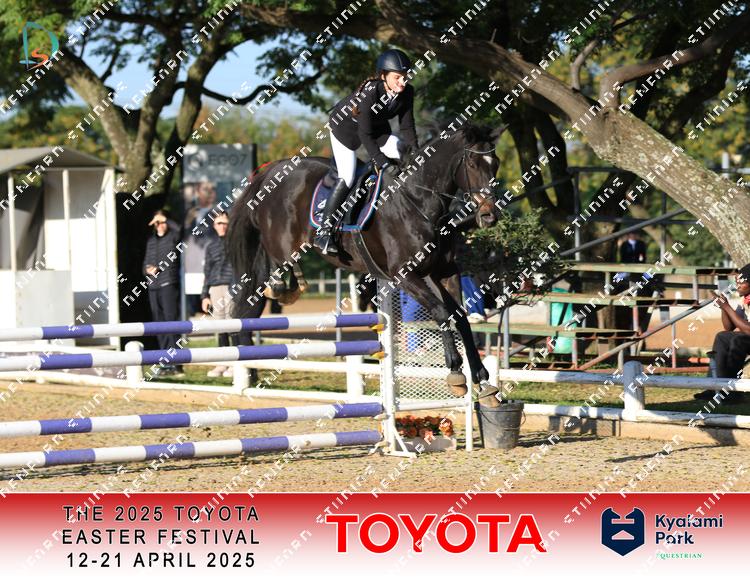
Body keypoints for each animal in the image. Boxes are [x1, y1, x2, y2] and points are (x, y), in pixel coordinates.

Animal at [228, 124, 505, 398]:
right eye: (472, 164)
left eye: (496, 163)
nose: (489, 215)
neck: (418, 201)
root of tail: (276, 167)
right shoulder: (404, 274)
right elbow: (442, 312)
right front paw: (455, 371)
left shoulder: (443, 272)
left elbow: (460, 316)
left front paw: (481, 378)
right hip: (281, 239)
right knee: (274, 261)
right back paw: (282, 288)